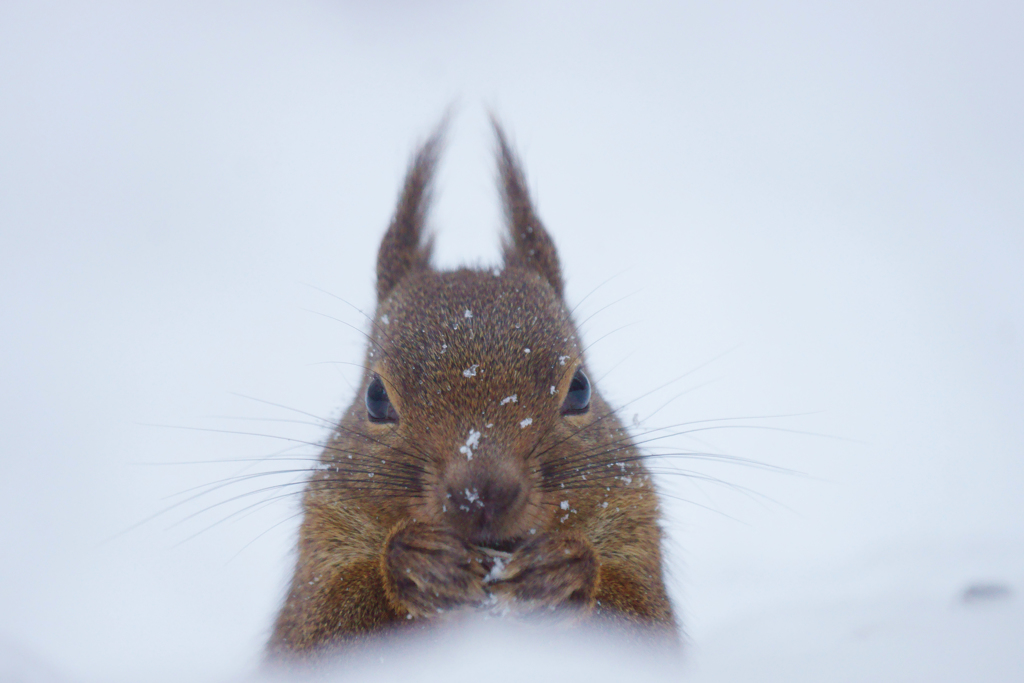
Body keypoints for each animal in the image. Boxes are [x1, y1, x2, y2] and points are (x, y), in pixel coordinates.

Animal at [268, 120, 675, 663]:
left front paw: (564, 569)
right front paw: (415, 562)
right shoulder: (326, 531)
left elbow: (643, 620)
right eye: (375, 398)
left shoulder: (633, 517)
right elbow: (318, 630)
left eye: (581, 390)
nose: (480, 493)